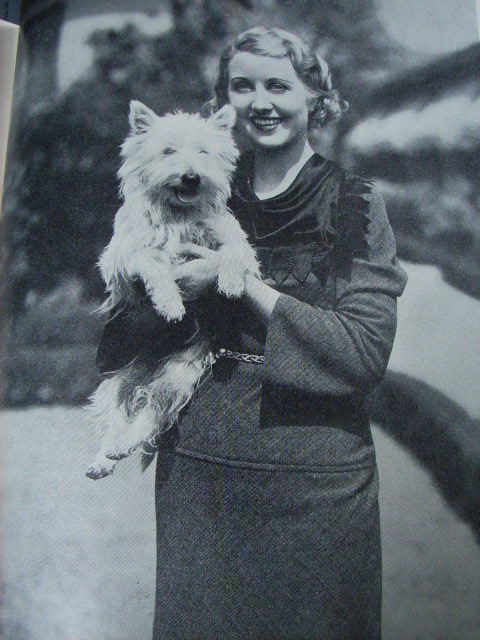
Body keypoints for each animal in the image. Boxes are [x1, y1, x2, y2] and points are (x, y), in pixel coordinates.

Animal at [86, 101, 258, 480]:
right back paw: (104, 457)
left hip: (179, 371)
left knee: (155, 408)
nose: (191, 176)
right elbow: (151, 262)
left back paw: (123, 445)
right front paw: (169, 303)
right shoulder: (121, 258)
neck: (179, 215)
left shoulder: (229, 236)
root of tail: (149, 369)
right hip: (120, 376)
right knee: (118, 415)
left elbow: (233, 251)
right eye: (167, 152)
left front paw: (229, 282)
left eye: (204, 152)